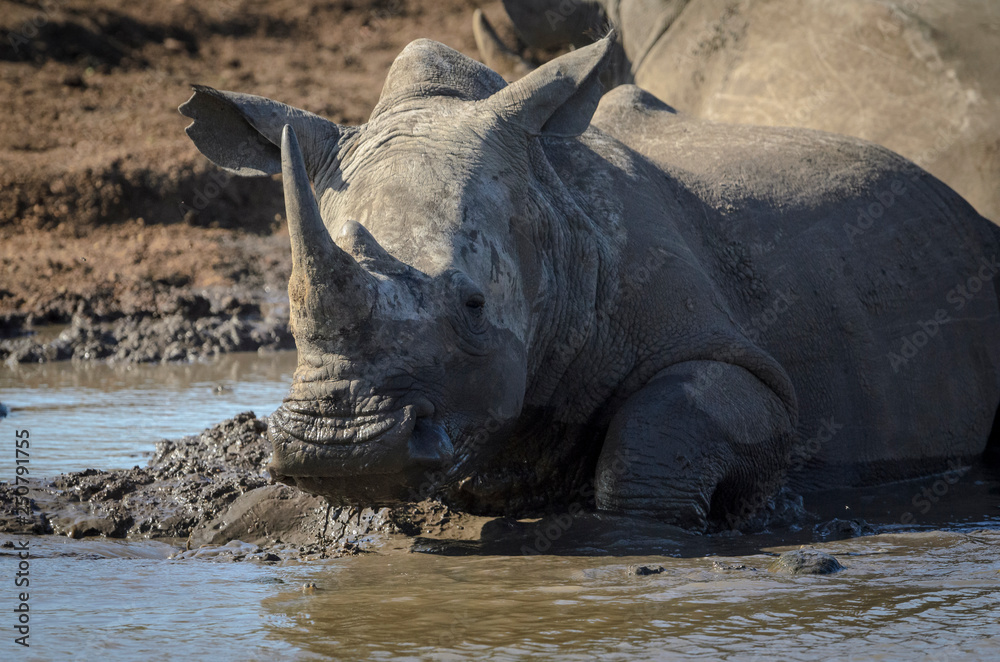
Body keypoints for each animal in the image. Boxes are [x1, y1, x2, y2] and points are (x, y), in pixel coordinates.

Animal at [179, 36, 1000, 530]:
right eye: (290, 324)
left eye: (475, 305)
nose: (339, 447)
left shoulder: (737, 359)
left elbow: (666, 428)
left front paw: (636, 535)